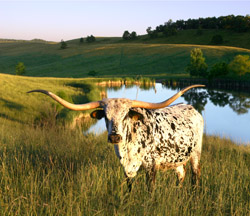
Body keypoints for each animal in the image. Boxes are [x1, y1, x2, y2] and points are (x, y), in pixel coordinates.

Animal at [28, 84, 204, 191]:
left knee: (195, 177)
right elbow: (129, 188)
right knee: (181, 175)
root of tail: (190, 107)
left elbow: (150, 191)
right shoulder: (126, 168)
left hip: (196, 154)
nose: (114, 137)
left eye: (126, 115)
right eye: (105, 116)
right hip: (177, 159)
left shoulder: (151, 167)